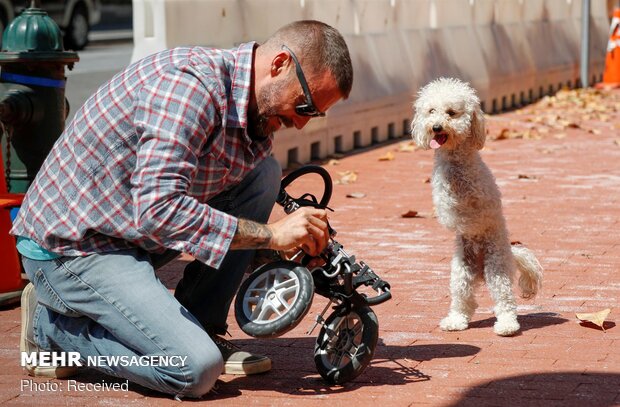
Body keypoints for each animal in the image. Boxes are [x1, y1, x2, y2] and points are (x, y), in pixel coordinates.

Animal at [412, 78, 544, 336]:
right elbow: (449, 209)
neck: (455, 165)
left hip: (497, 267)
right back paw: (456, 321)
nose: (436, 127)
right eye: (431, 111)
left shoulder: (483, 200)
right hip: (461, 273)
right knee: (464, 301)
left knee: (505, 301)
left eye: (451, 113)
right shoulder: (443, 201)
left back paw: (507, 325)